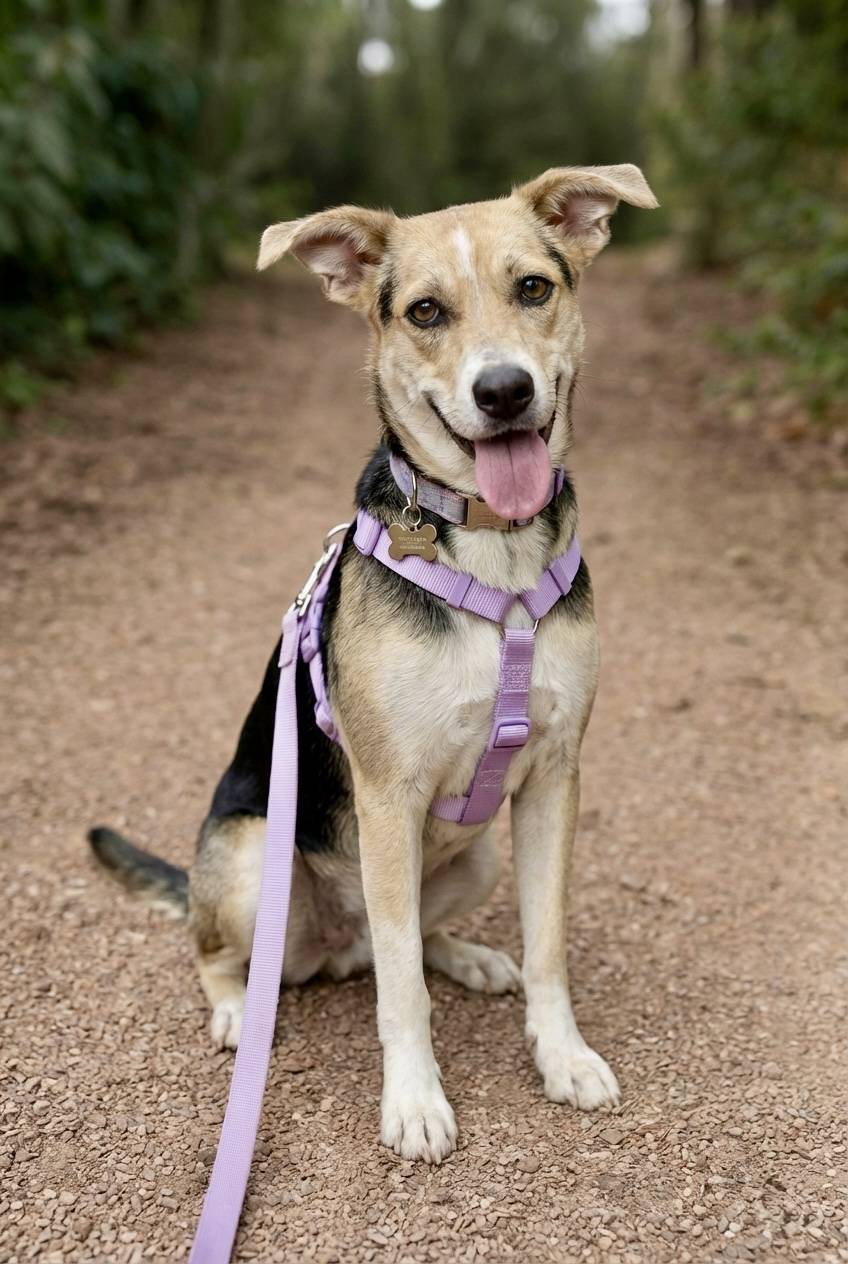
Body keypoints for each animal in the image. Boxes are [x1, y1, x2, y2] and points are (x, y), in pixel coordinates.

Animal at [89, 164, 658, 1164]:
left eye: (534, 289)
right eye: (425, 312)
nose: (503, 391)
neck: (493, 554)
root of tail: (330, 947)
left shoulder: (554, 777)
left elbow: (546, 946)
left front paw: (563, 1056)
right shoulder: (388, 795)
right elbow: (401, 992)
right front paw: (416, 1101)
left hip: (474, 857)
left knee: (413, 940)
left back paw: (470, 957)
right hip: (253, 856)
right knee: (232, 955)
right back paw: (236, 1010)